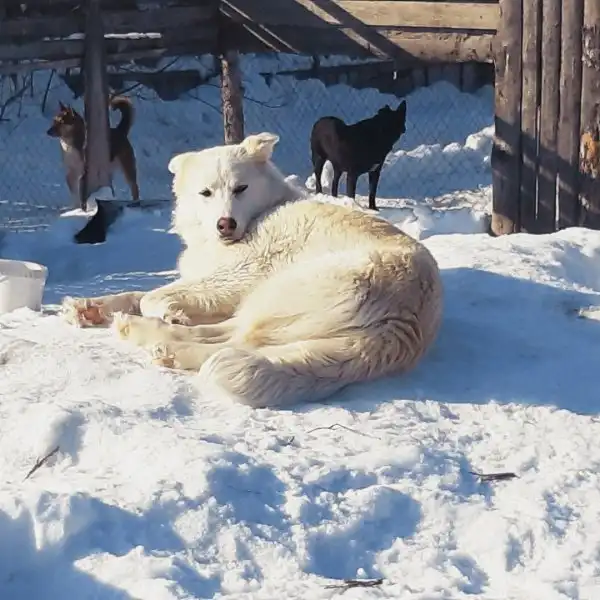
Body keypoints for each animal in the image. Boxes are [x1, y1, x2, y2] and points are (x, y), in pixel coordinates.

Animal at [60, 132, 442, 408]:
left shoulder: (237, 277)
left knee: (234, 339)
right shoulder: (202, 280)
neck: (261, 213)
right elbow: (134, 294)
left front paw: (169, 313)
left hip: (276, 291)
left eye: (240, 188)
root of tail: (406, 323)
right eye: (206, 193)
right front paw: (89, 307)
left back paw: (158, 340)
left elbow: (150, 297)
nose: (225, 224)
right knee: (230, 336)